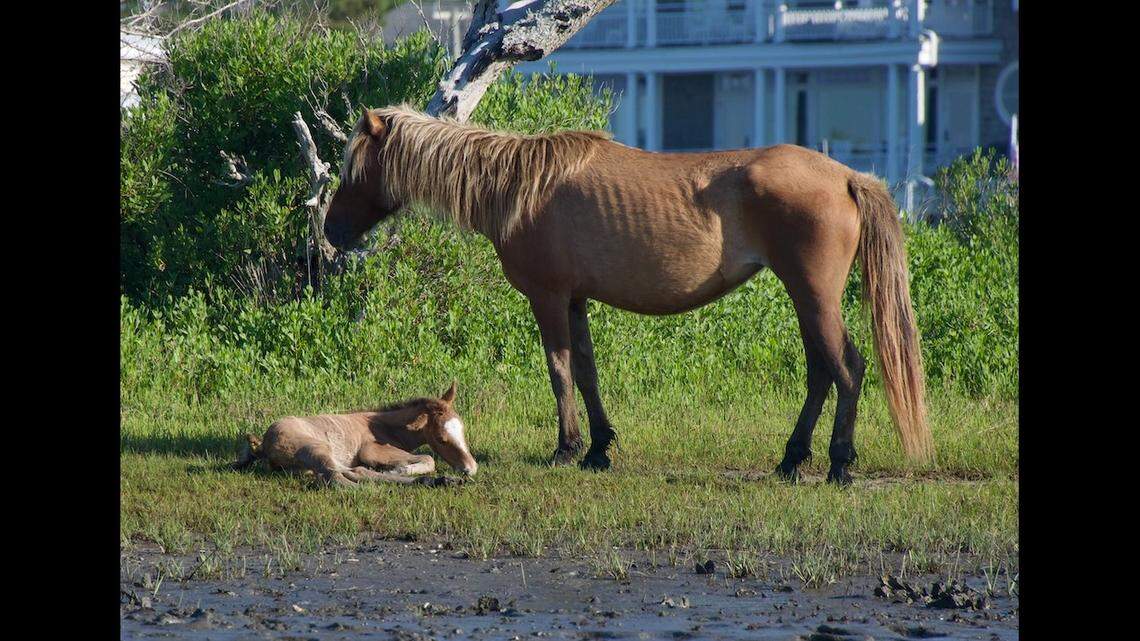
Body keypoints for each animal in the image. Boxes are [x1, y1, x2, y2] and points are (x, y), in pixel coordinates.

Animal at [232, 382, 477, 486]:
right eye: (441, 439)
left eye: (463, 429)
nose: (471, 468)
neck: (385, 427)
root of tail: (263, 445)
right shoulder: (372, 450)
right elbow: (428, 458)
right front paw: (400, 468)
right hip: (316, 448)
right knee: (338, 476)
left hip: (309, 464)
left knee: (347, 472)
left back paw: (440, 480)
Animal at [322, 105, 932, 484]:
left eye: (354, 168)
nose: (331, 232)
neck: (518, 186)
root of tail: (847, 177)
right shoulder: (576, 300)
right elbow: (587, 371)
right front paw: (598, 448)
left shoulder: (548, 297)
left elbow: (559, 370)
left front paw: (566, 448)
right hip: (807, 300)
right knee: (821, 373)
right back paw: (790, 460)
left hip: (814, 297)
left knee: (847, 369)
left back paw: (838, 463)